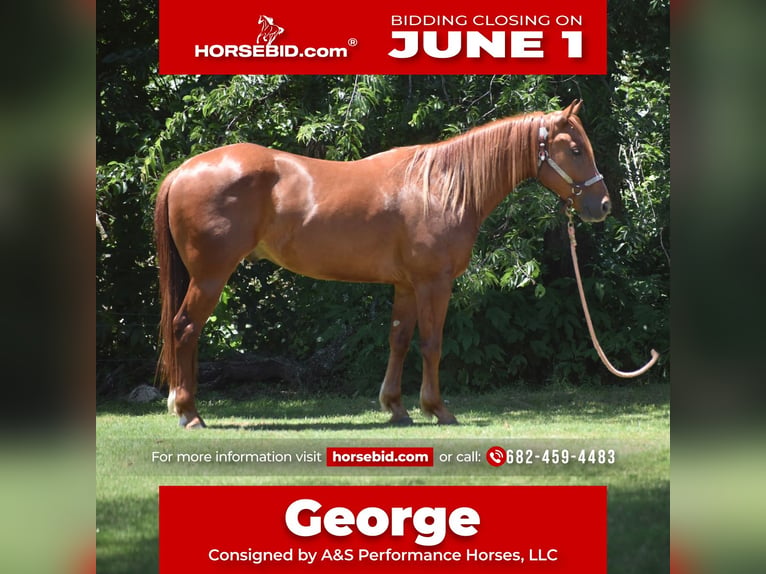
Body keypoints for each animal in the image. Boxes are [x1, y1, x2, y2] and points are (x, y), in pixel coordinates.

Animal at [154, 100, 611, 428]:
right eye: (575, 150)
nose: (602, 205)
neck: (441, 186)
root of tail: (183, 170)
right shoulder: (433, 283)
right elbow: (432, 343)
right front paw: (438, 409)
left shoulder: (406, 285)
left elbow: (399, 340)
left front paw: (396, 407)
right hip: (211, 277)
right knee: (185, 328)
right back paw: (189, 413)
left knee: (188, 333)